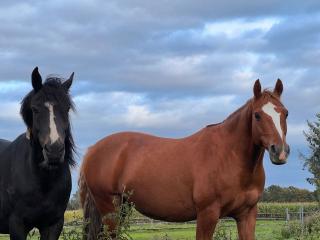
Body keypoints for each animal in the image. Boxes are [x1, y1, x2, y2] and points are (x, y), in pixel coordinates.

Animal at [79, 79, 290, 239]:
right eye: (257, 115)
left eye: (286, 113)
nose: (279, 151)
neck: (229, 157)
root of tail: (93, 149)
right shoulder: (207, 214)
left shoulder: (247, 215)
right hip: (110, 209)